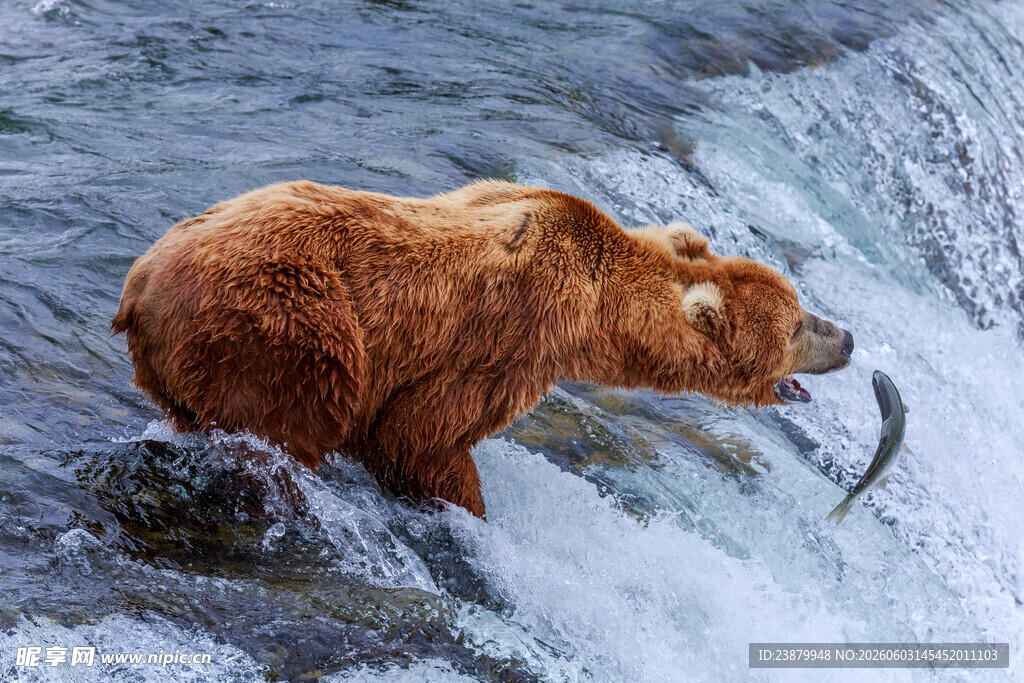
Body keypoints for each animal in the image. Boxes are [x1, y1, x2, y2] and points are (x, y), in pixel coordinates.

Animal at [112, 180, 853, 518]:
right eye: (797, 326)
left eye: (802, 306)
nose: (847, 337)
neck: (598, 310)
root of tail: (139, 282)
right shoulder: (515, 332)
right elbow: (421, 436)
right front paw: (466, 504)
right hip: (286, 329)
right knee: (288, 425)